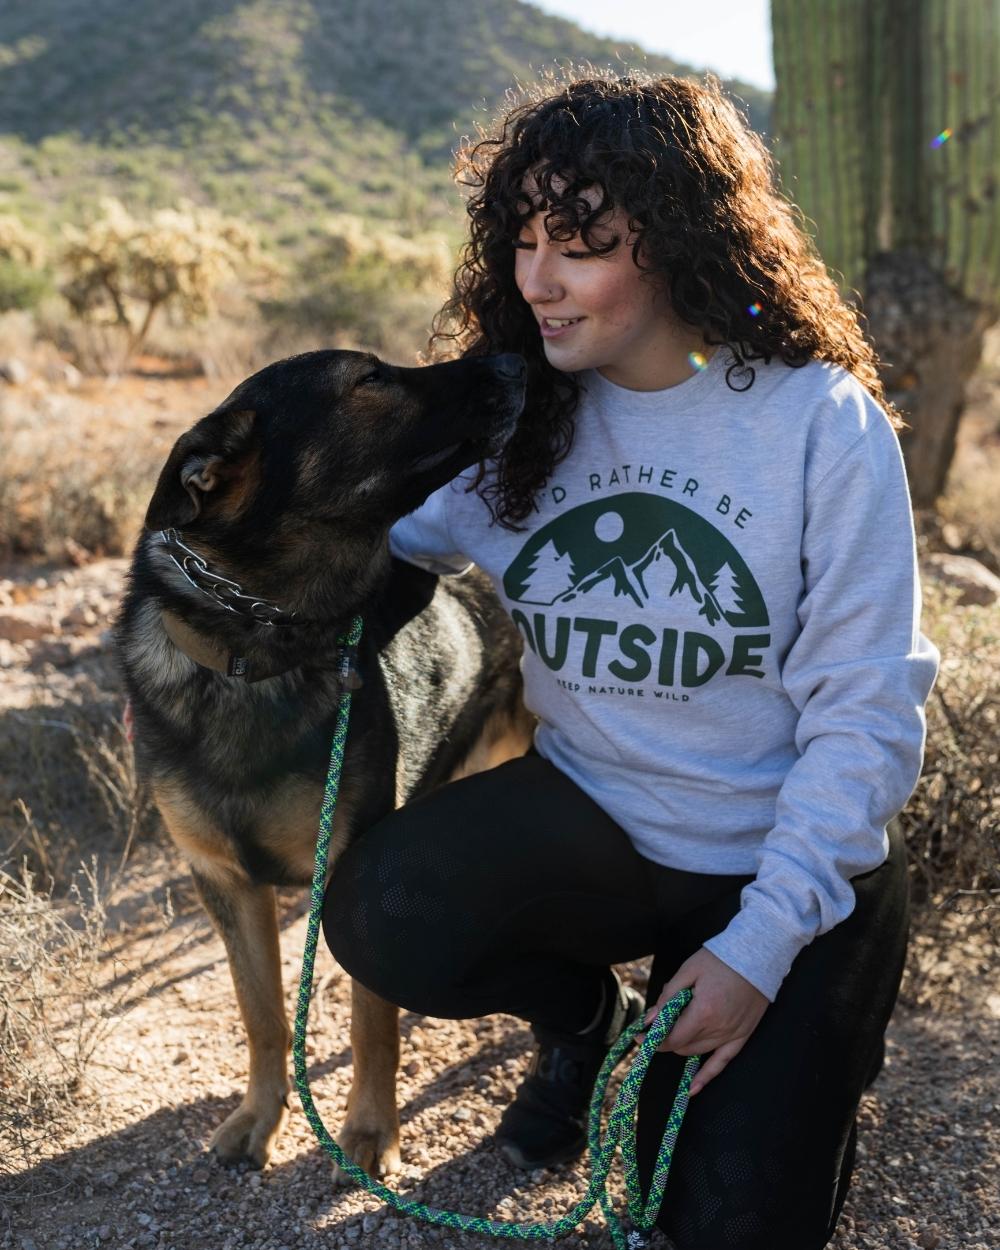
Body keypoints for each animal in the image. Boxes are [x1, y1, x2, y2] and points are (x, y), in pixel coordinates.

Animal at [116, 347, 535, 1175]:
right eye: (370, 380)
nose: (514, 355)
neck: (254, 650)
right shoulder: (224, 881)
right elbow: (262, 1015)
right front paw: (261, 1116)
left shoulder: (349, 871)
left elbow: (371, 1019)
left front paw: (371, 1130)